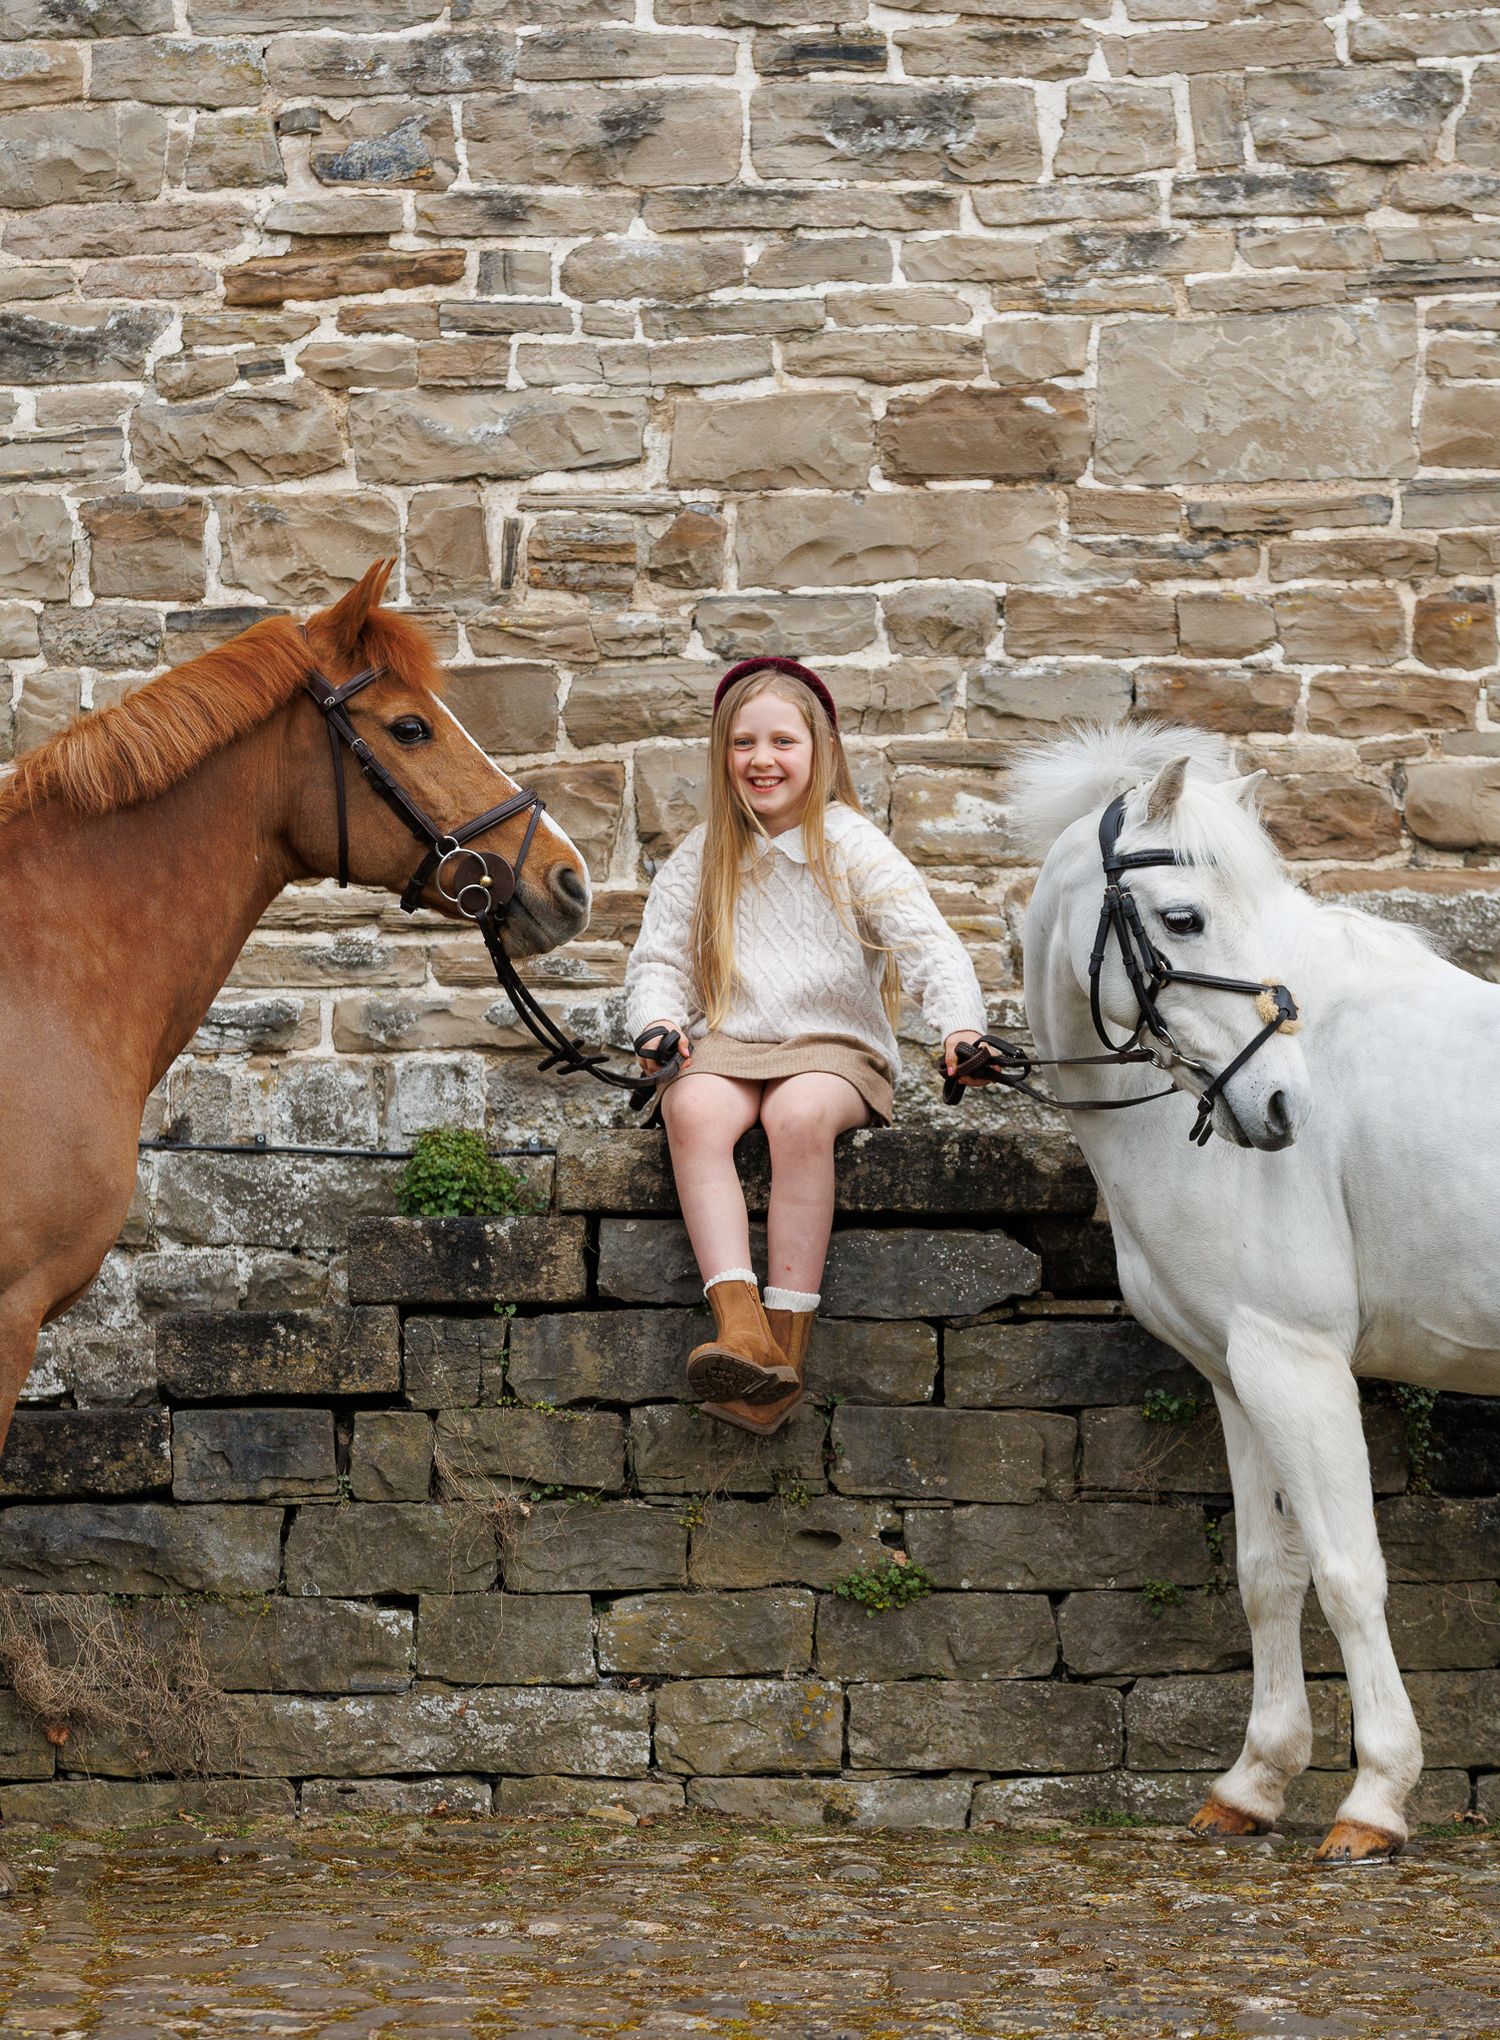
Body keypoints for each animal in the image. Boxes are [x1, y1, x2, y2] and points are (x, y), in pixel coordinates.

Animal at [1010, 720, 1498, 1864]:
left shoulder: (1296, 1361)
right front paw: (1254, 1783)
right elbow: (1266, 1572)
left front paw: (1375, 1800)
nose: (1281, 1108)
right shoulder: (1236, 1373)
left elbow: (1348, 1570)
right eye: (1185, 917)